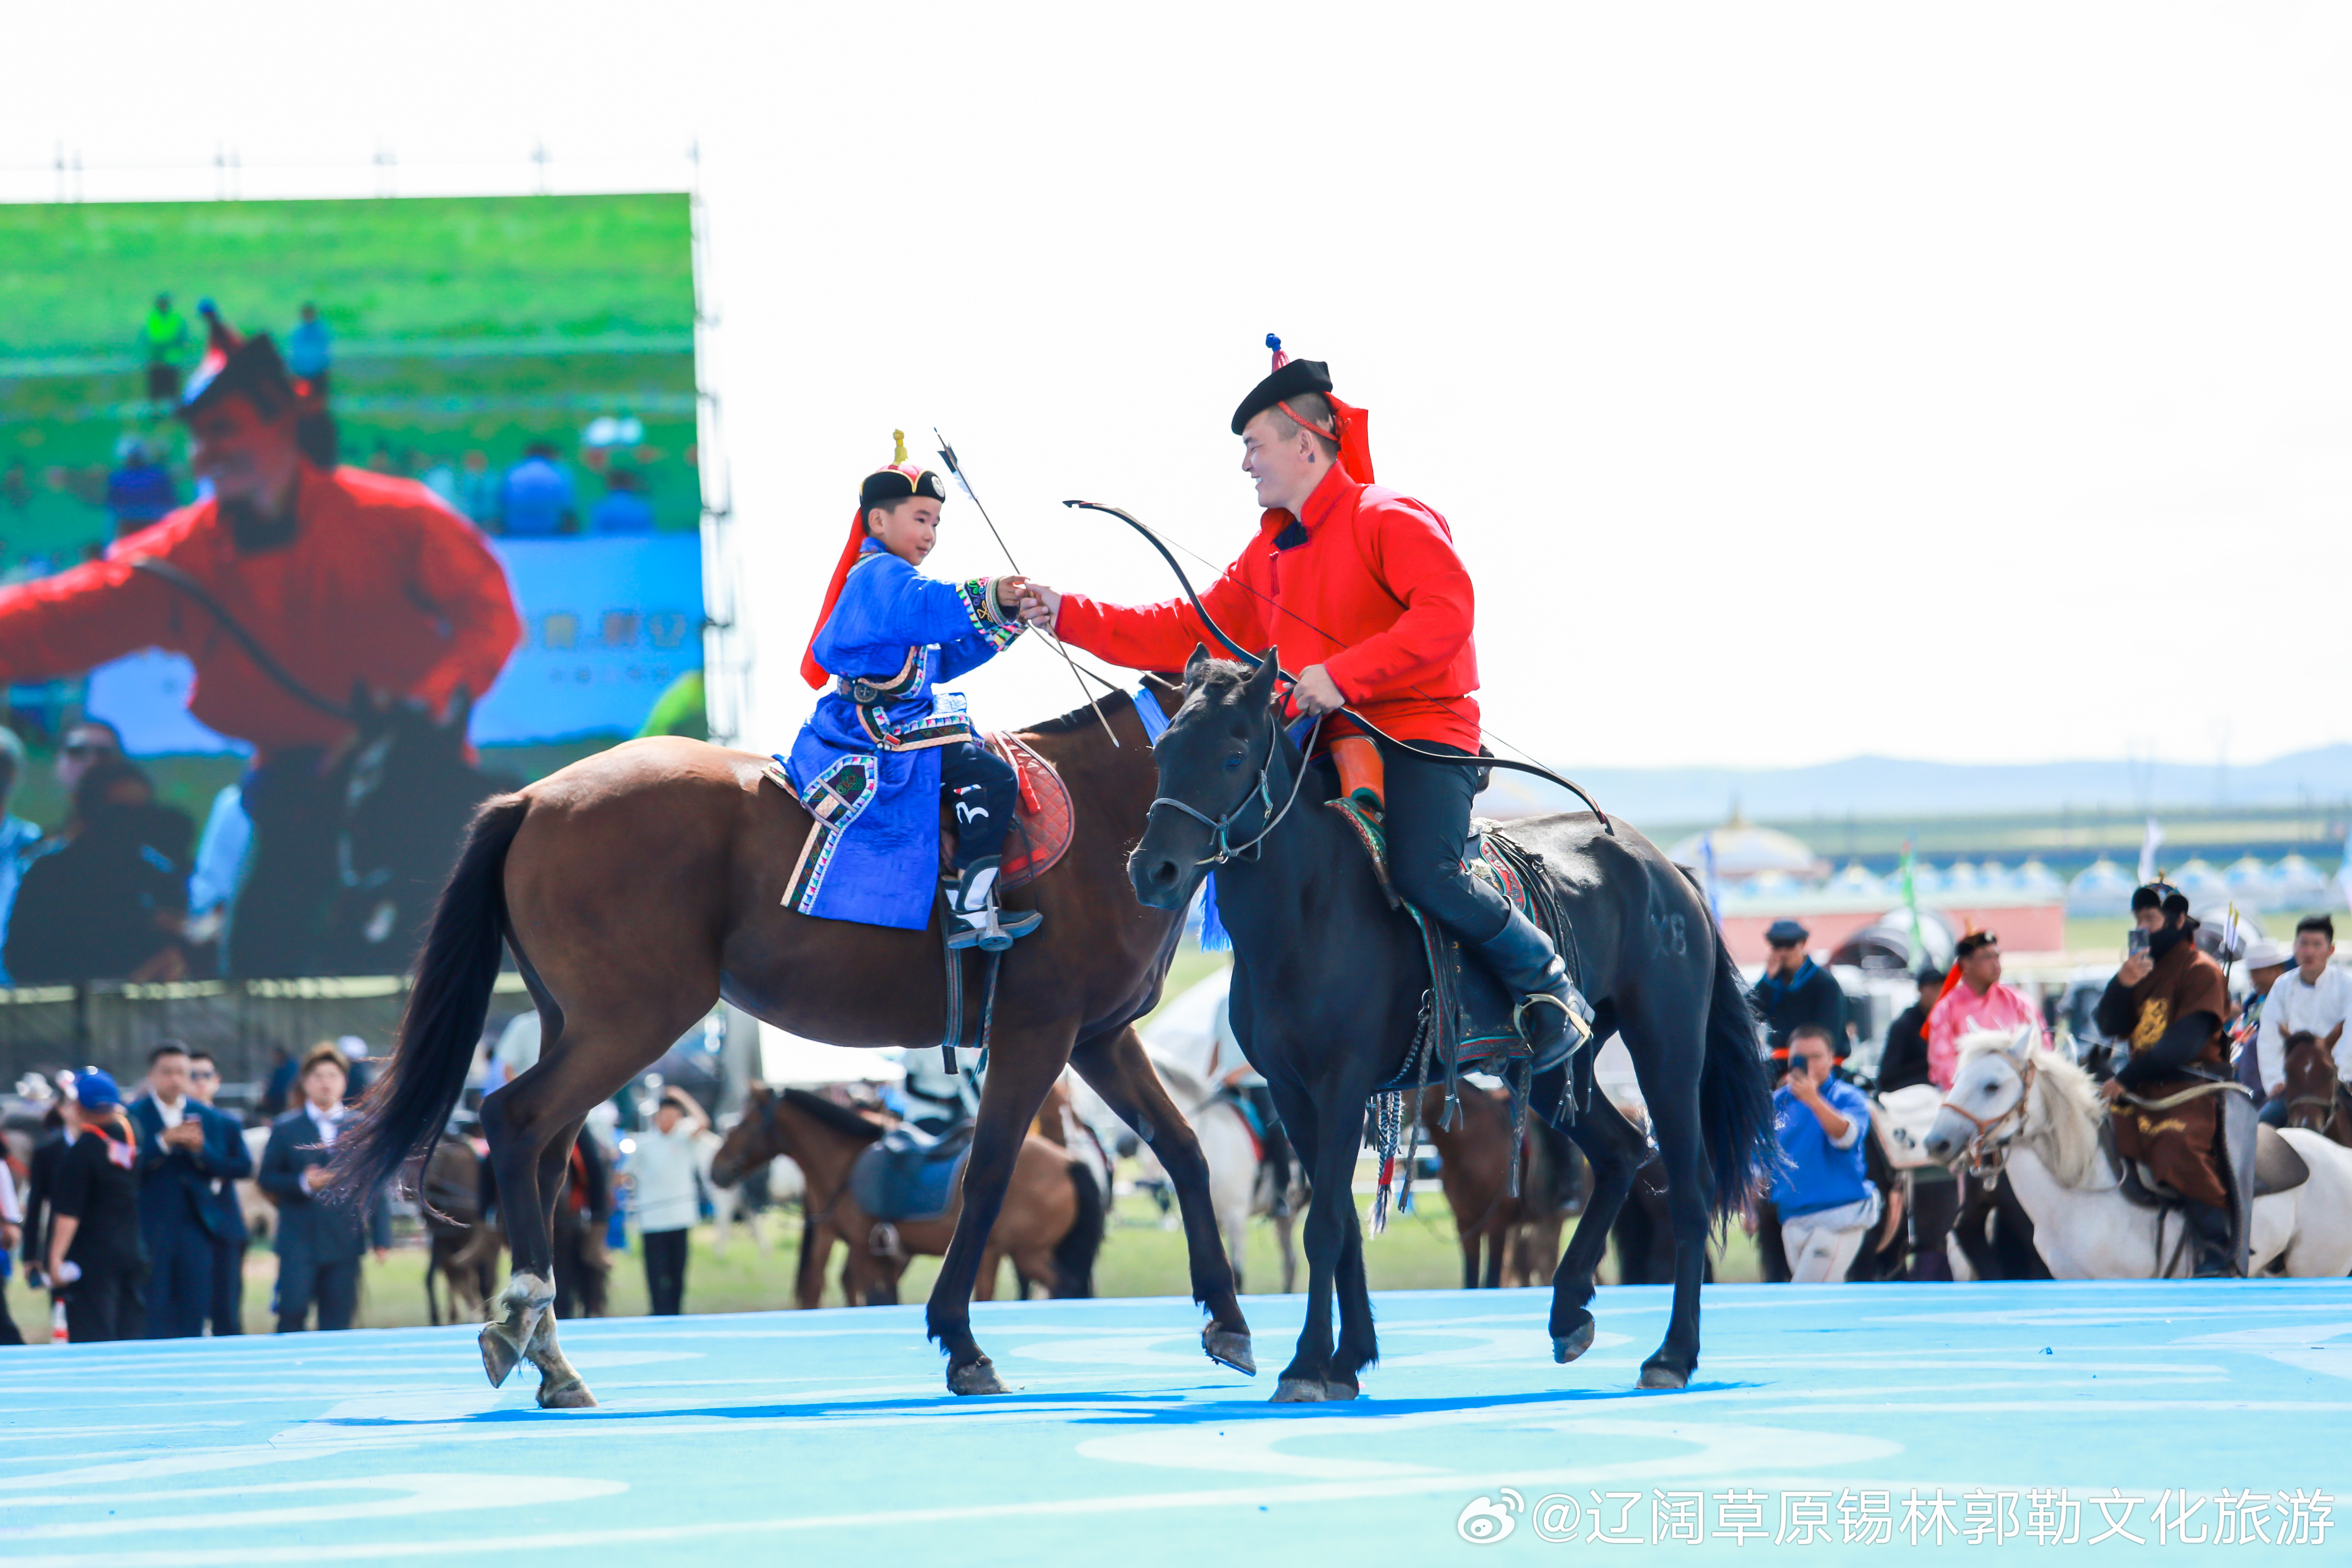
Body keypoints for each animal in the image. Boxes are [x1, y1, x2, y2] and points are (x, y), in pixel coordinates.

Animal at [706, 1086, 1101, 1307]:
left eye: (743, 1123)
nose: (716, 1168)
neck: (848, 1160)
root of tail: (1071, 1162)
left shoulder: (864, 1250)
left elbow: (872, 1298)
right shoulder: (880, 1253)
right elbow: (880, 1298)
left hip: (1024, 1251)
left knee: (1064, 1285)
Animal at [1129, 649, 1769, 1401]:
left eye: (1232, 755)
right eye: (1163, 750)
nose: (1155, 871)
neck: (1307, 908)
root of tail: (1663, 866)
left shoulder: (1341, 1083)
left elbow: (1323, 1227)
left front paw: (1309, 1364)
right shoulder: (1291, 1091)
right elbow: (1345, 1226)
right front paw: (1350, 1359)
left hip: (1667, 1048)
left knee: (1689, 1193)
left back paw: (1672, 1353)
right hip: (1551, 1072)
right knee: (1621, 1152)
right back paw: (1569, 1309)